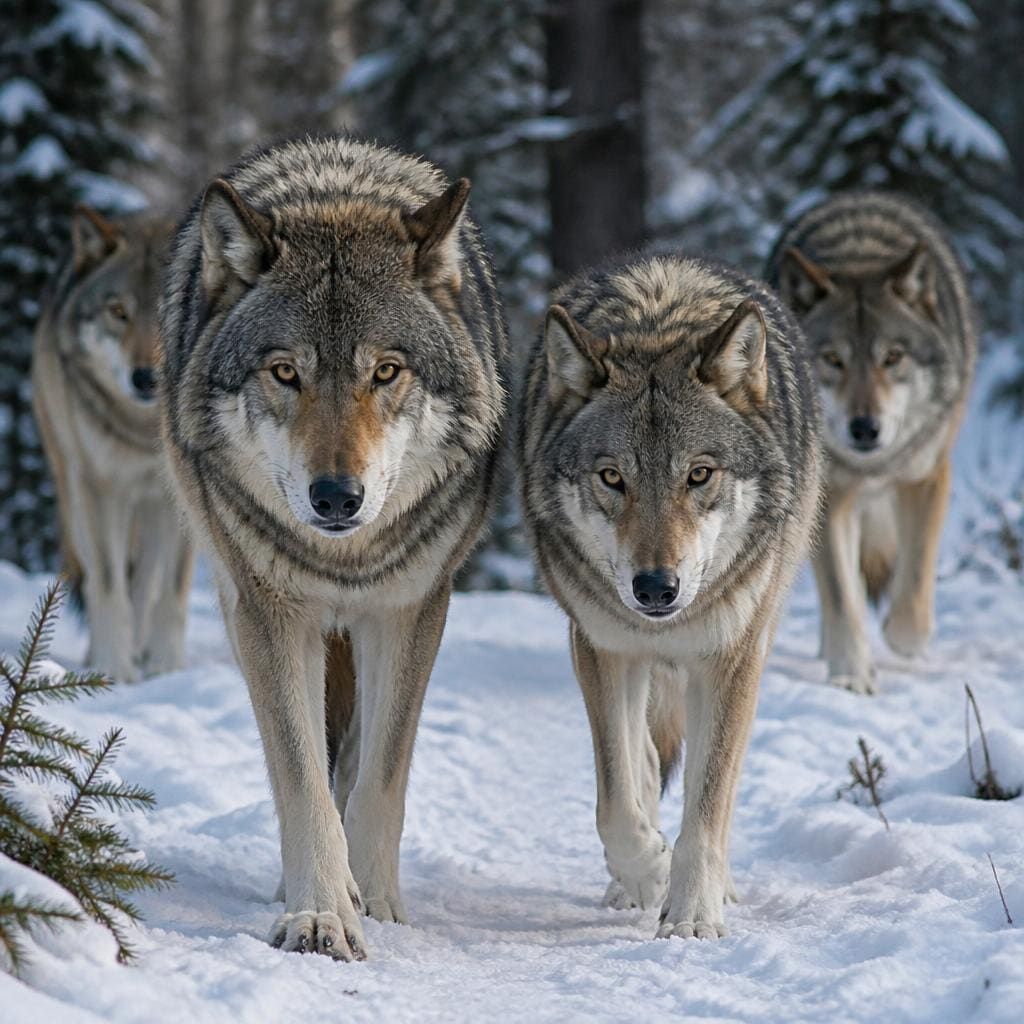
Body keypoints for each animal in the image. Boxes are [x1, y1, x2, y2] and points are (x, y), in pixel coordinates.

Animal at [32, 209, 192, 682]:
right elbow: (107, 584)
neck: (144, 433)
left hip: (154, 507)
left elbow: (169, 591)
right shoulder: (101, 488)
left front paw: (166, 667)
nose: (145, 379)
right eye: (118, 312)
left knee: (144, 580)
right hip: (75, 488)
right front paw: (113, 668)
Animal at [159, 135, 509, 960]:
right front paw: (319, 911)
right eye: (286, 371)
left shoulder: (410, 611)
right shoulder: (270, 613)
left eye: (385, 370)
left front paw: (373, 901)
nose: (336, 498)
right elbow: (300, 777)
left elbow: (379, 778)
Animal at [518, 254, 822, 939]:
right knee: (646, 768)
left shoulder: (731, 660)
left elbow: (708, 807)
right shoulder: (602, 649)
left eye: (699, 475)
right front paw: (648, 872)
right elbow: (616, 800)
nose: (656, 587)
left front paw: (691, 916)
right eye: (612, 478)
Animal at [768, 192, 976, 695]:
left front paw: (903, 639)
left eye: (893, 357)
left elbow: (916, 575)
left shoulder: (927, 477)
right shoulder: (830, 494)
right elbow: (843, 597)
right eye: (833, 360)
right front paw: (851, 673)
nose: (865, 428)